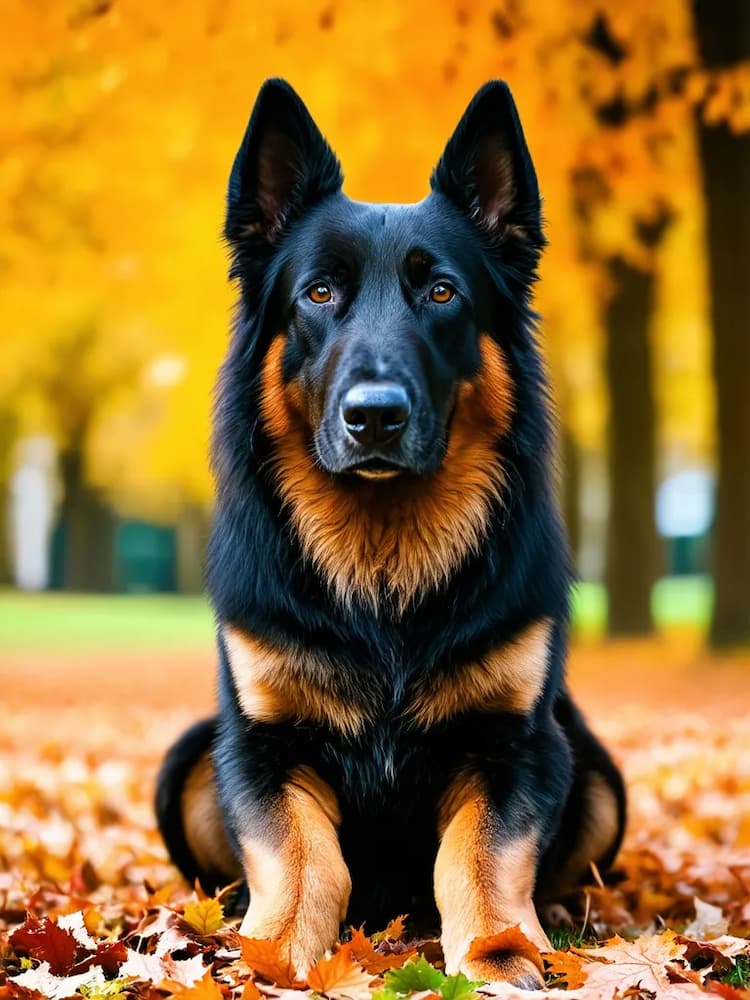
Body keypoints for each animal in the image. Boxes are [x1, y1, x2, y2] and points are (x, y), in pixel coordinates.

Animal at [159, 80, 628, 992]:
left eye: (441, 293)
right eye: (319, 294)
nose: (374, 415)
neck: (382, 564)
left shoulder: (515, 746)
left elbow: (477, 860)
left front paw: (498, 952)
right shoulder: (260, 750)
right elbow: (304, 861)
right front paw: (274, 953)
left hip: (594, 770)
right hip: (189, 759)